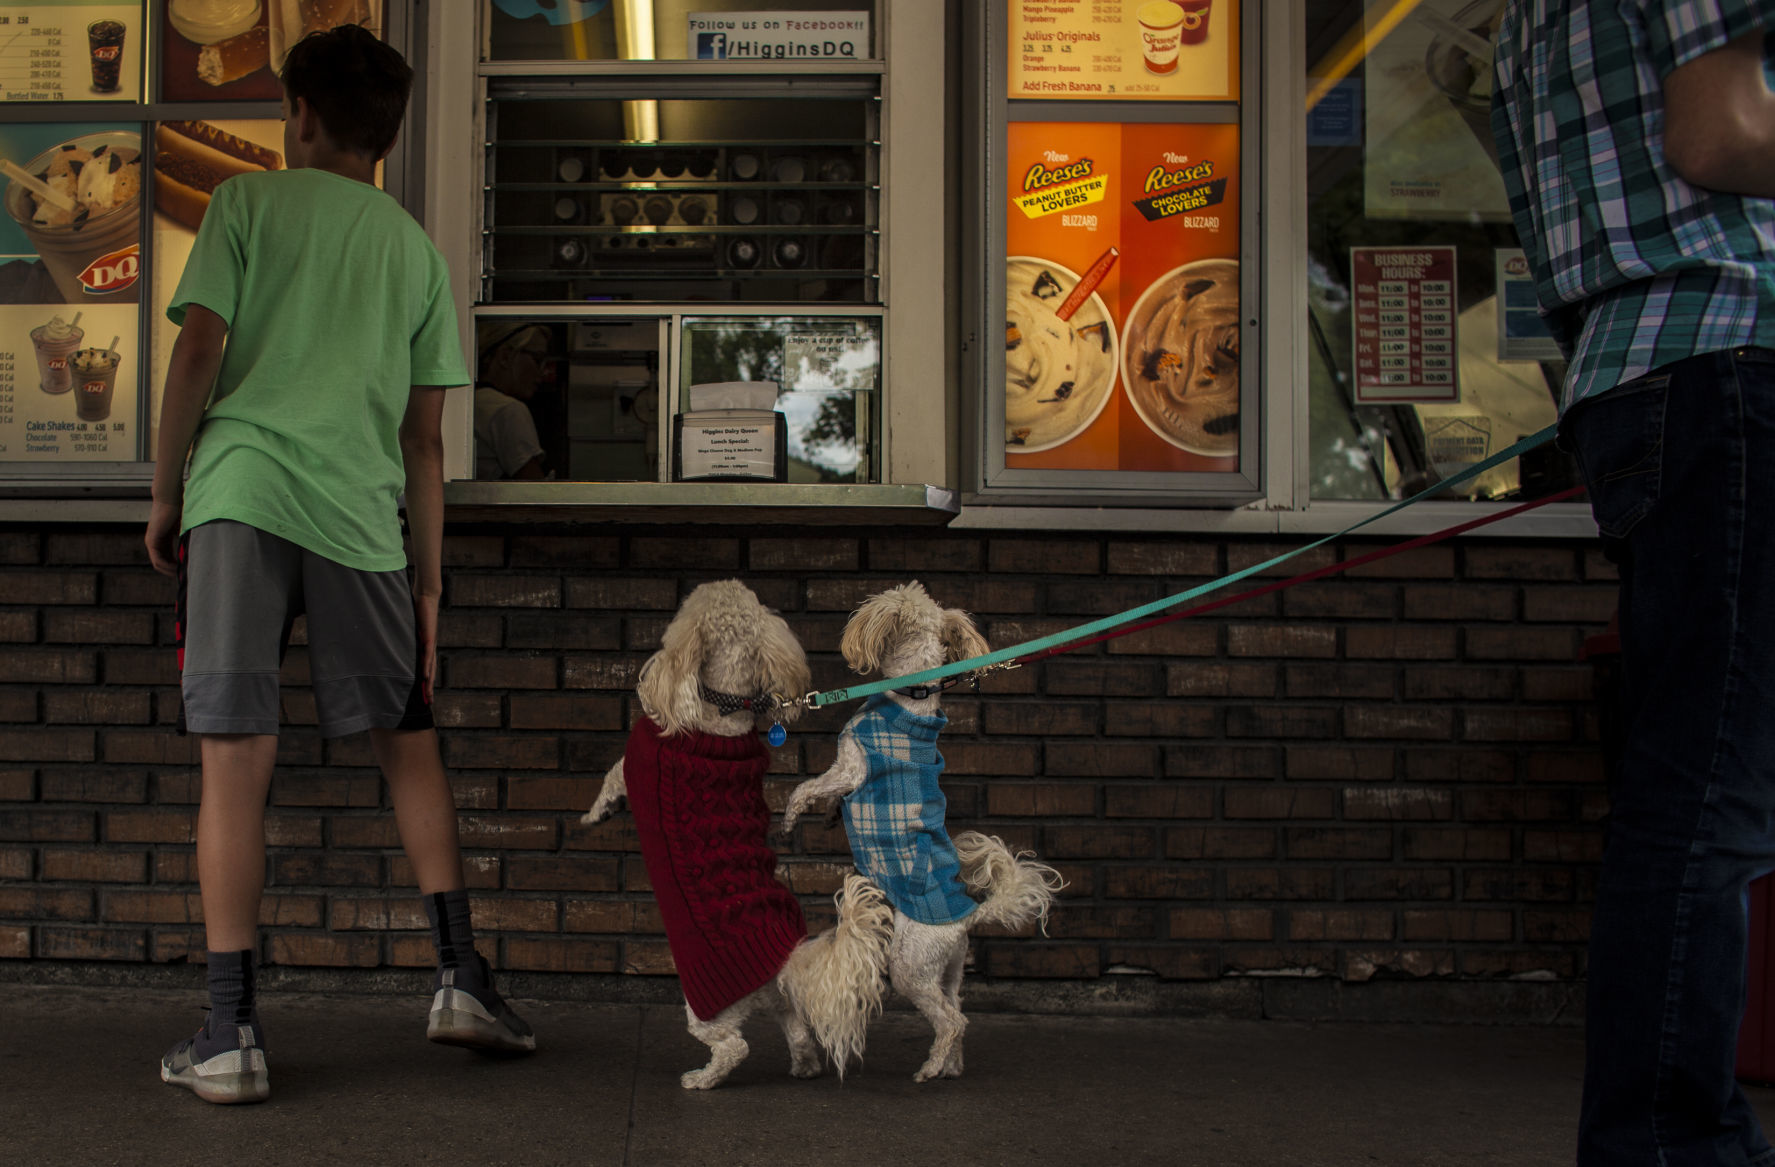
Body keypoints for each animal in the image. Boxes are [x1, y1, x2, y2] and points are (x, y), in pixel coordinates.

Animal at [784, 582, 1057, 1079]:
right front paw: (830, 814)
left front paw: (792, 815)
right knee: (958, 1011)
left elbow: (811, 785)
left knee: (952, 1020)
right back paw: (950, 1066)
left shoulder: (850, 767)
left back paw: (931, 1067)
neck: (911, 699)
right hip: (948, 970)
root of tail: (967, 917)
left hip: (910, 965)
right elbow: (829, 795)